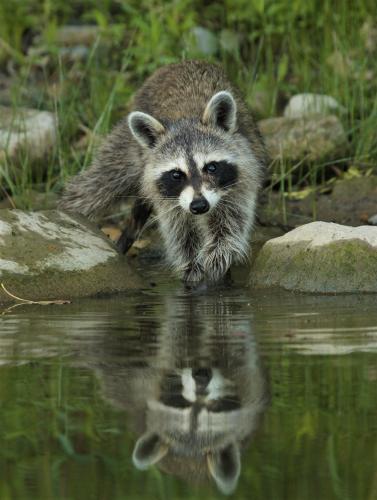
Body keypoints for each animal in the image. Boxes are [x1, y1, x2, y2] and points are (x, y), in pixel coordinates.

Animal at [58, 59, 266, 282]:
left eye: (211, 167)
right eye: (176, 174)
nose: (199, 205)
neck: (187, 118)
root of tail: (180, 63)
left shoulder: (242, 176)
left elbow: (231, 223)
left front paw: (218, 256)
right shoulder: (167, 199)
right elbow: (180, 233)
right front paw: (191, 267)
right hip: (128, 146)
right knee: (97, 184)